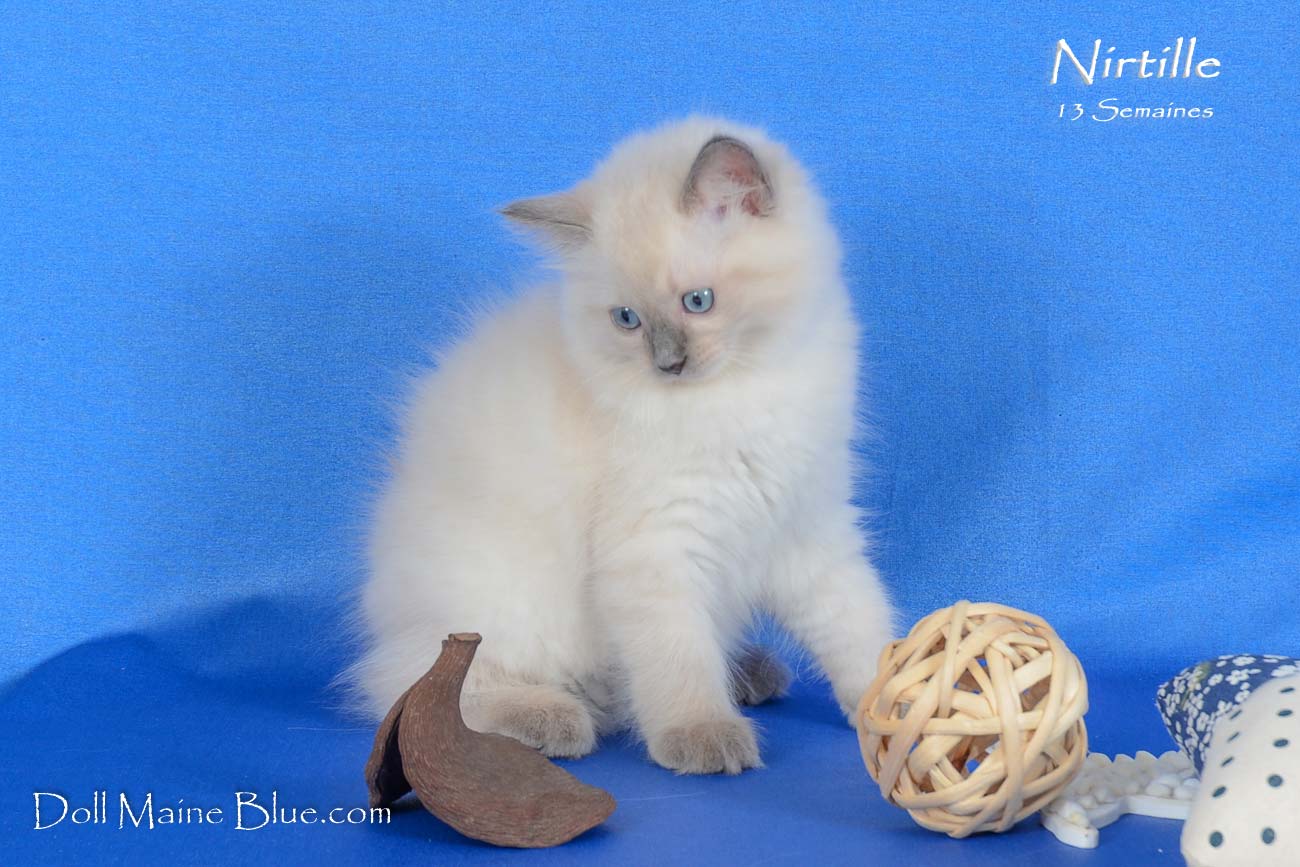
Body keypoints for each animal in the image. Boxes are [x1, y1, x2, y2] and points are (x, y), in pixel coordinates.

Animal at [352, 117, 895, 774]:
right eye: (627, 319)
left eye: (698, 302)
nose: (668, 364)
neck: (747, 389)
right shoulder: (657, 544)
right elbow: (678, 659)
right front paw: (703, 734)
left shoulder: (807, 522)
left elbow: (857, 626)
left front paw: (908, 701)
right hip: (498, 604)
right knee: (422, 690)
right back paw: (555, 720)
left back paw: (746, 674)